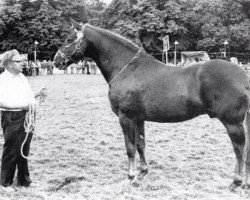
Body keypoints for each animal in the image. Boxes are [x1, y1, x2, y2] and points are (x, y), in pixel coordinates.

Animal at [52, 19, 250, 189]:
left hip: (233, 123)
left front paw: (130, 176)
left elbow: (130, 147)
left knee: (239, 149)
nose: (56, 61)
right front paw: (142, 173)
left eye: (69, 39)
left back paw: (236, 181)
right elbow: (141, 144)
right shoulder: (138, 118)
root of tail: (244, 76)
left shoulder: (125, 118)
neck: (127, 69)